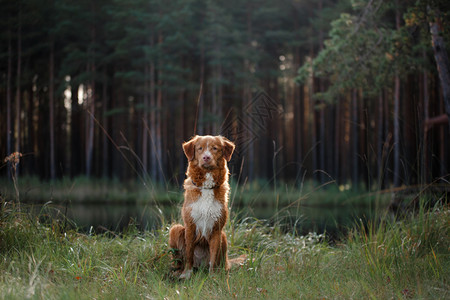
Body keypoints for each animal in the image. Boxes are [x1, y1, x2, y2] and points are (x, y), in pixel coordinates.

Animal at [169, 135, 237, 278]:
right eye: (200, 148)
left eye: (215, 148)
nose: (206, 157)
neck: (206, 187)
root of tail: (199, 266)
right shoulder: (190, 226)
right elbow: (189, 253)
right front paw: (186, 274)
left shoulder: (217, 229)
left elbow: (213, 257)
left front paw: (212, 277)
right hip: (175, 229)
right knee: (179, 261)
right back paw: (178, 272)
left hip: (223, 236)